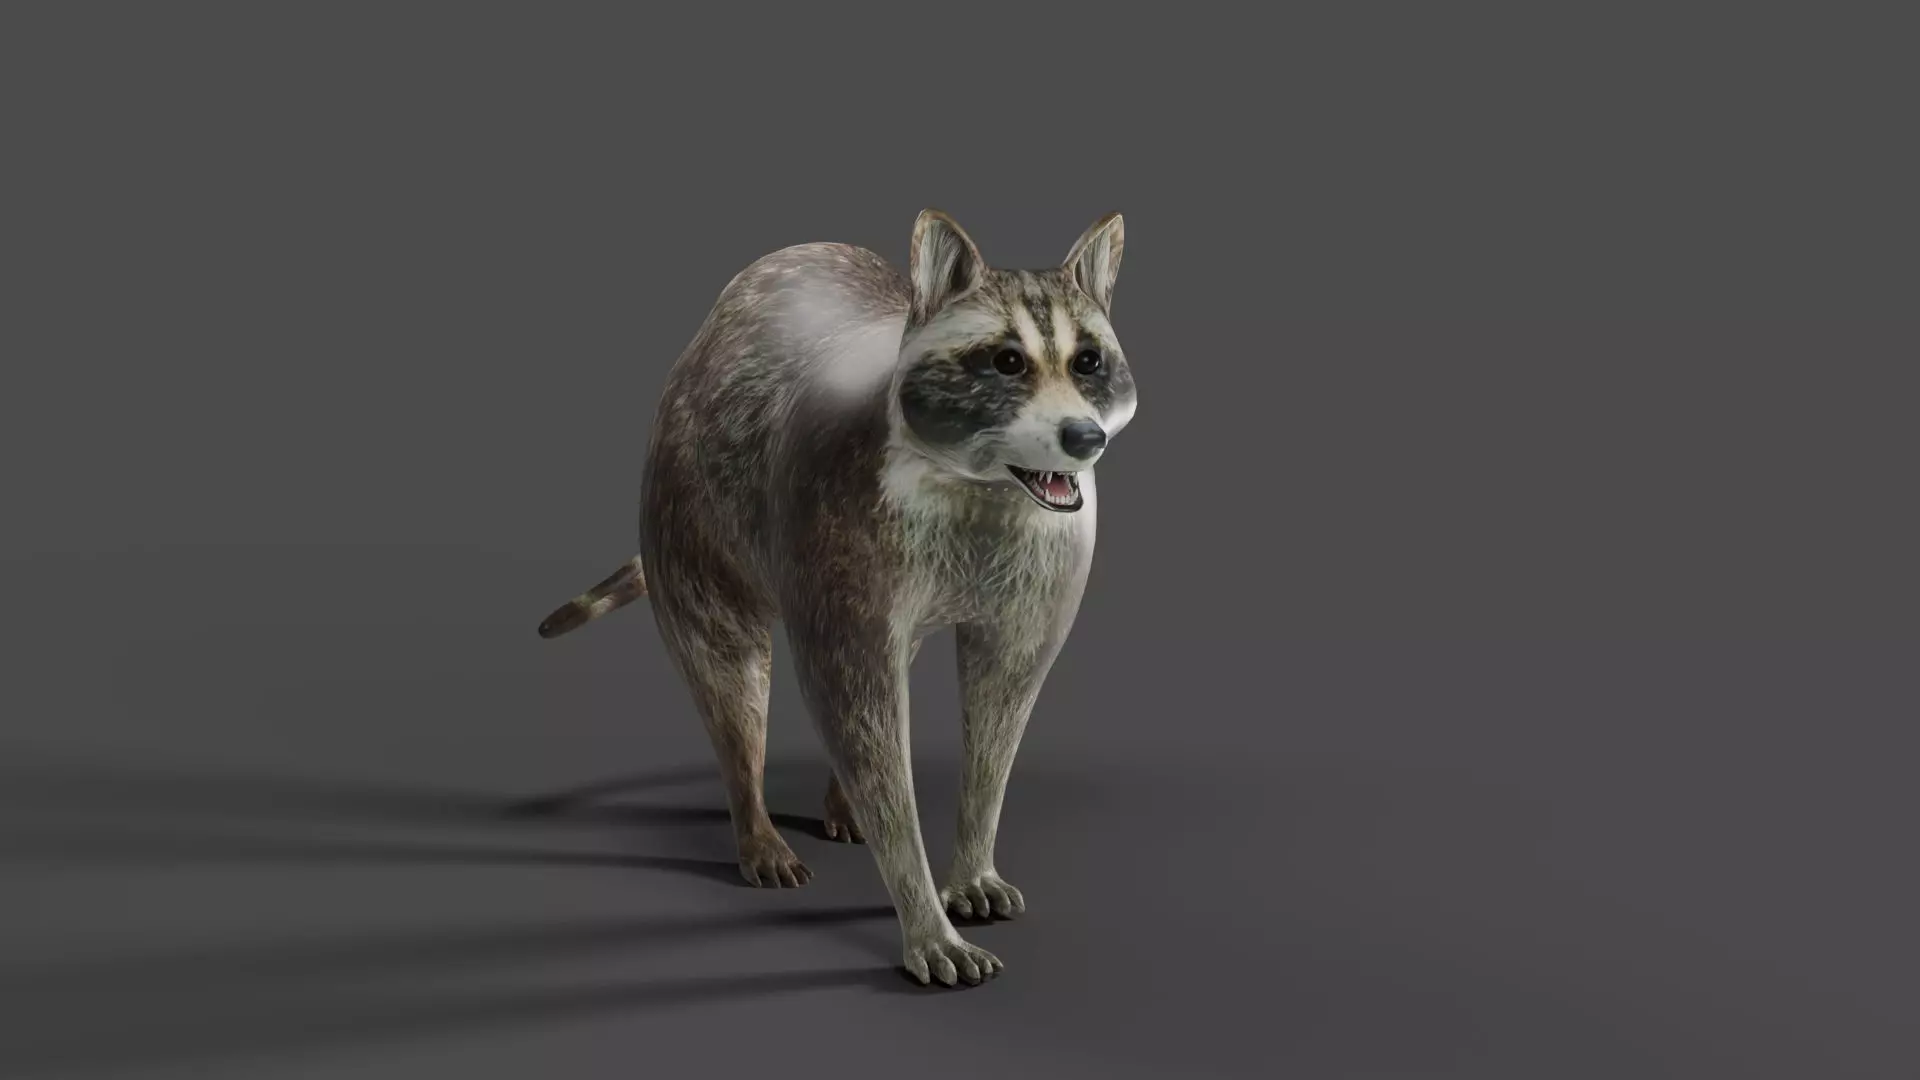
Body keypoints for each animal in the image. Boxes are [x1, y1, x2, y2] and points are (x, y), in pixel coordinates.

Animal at [538, 209, 1136, 987]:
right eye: (1007, 362)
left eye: (1088, 362)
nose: (1082, 437)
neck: (985, 484)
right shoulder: (839, 526)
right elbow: (857, 711)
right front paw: (922, 914)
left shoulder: (1043, 558)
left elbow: (1001, 706)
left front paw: (972, 861)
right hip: (690, 514)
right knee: (732, 679)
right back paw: (755, 821)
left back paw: (837, 801)